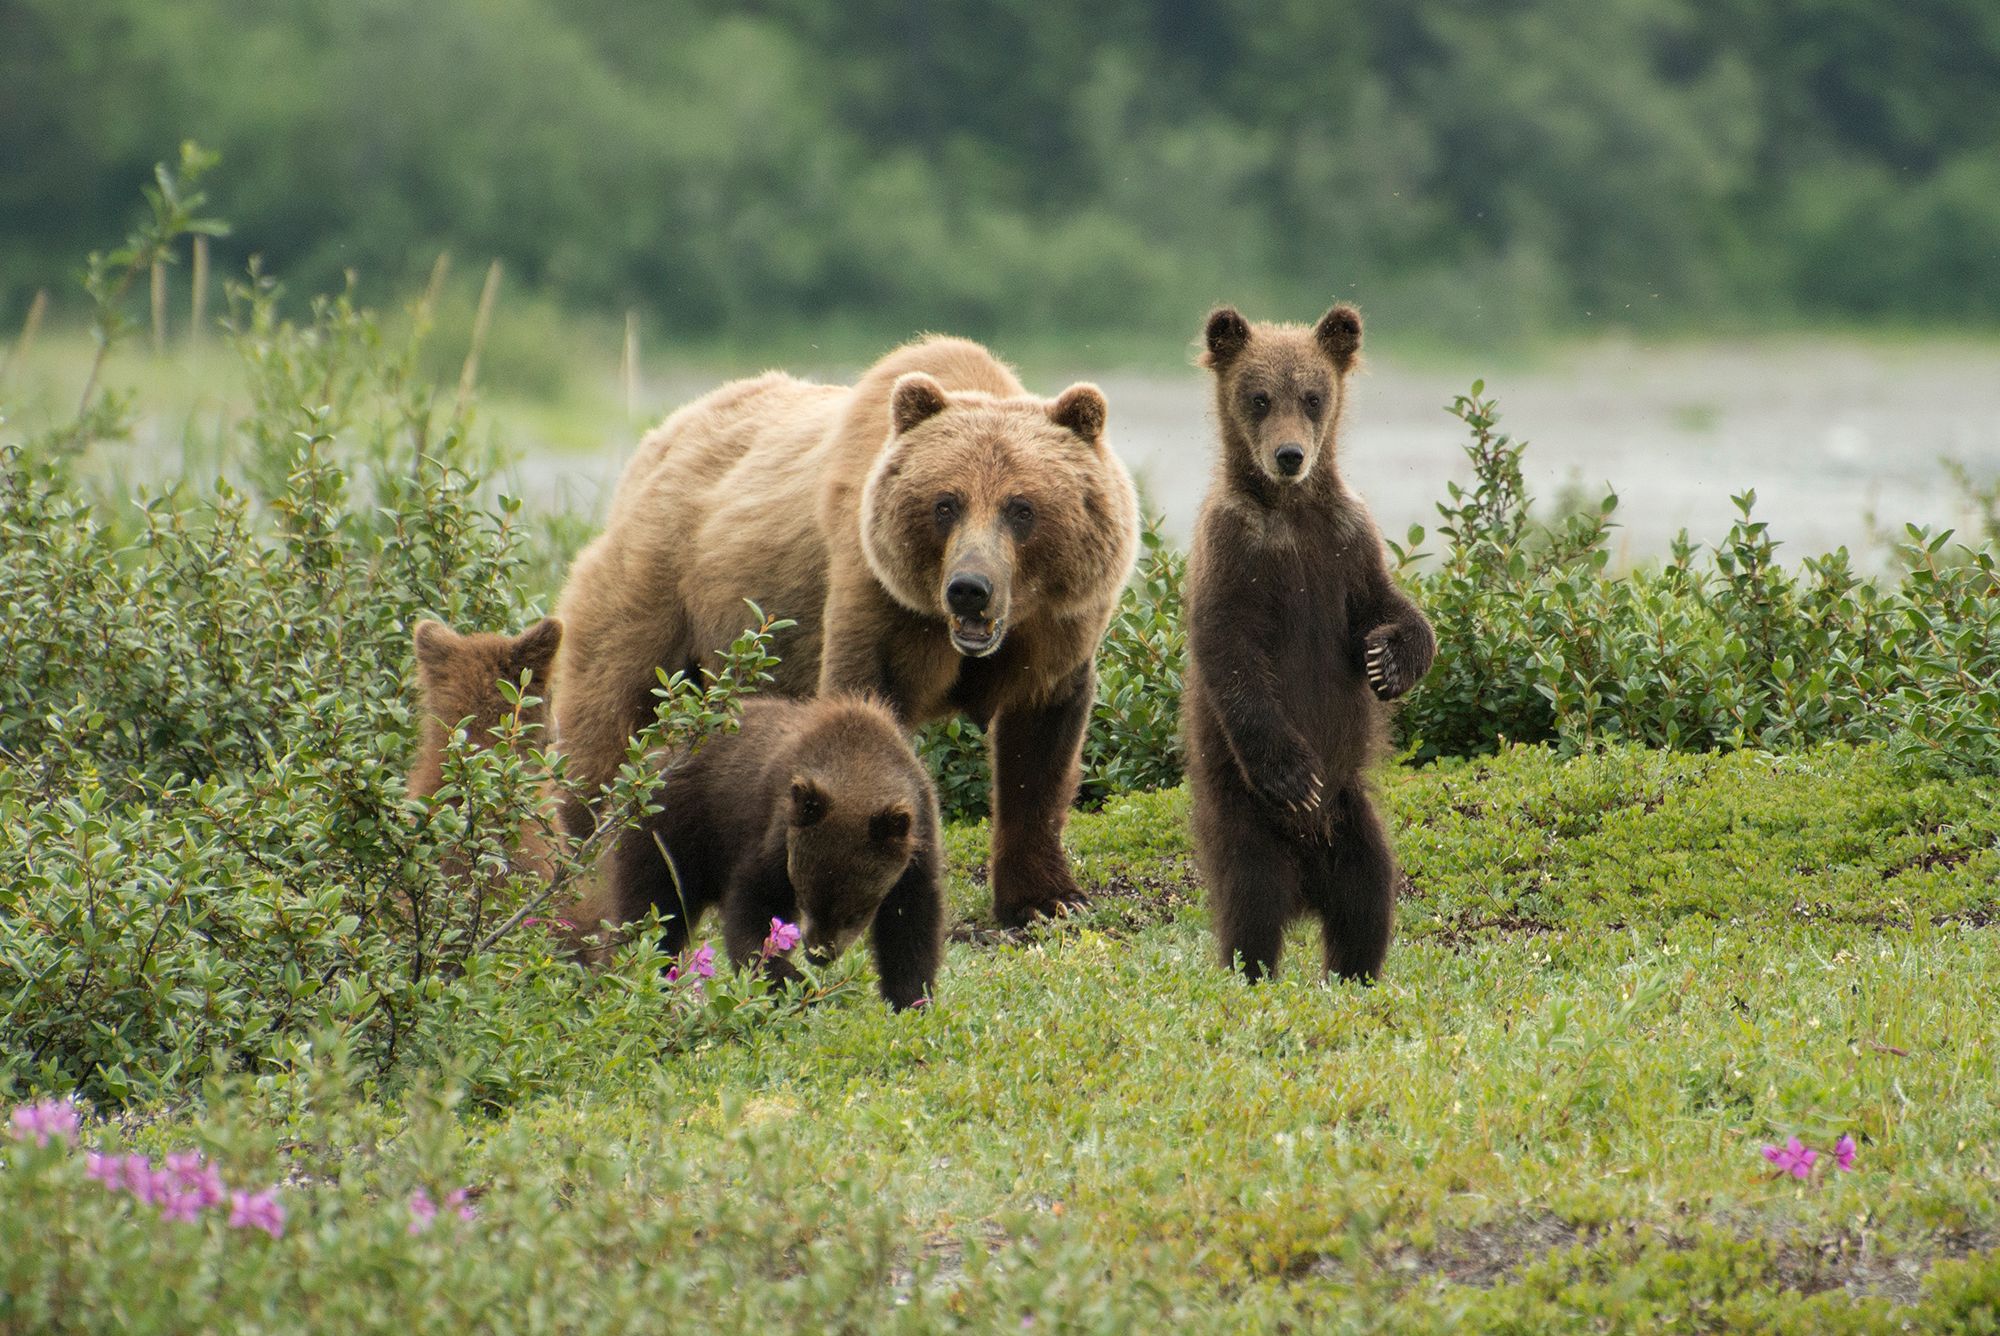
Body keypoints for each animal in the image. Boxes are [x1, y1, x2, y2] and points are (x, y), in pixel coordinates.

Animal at [552, 336, 1140, 927]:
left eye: (1022, 508)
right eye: (945, 504)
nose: (970, 588)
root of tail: (660, 438)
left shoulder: (1055, 630)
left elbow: (1040, 753)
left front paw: (1047, 898)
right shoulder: (877, 597)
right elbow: (865, 715)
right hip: (660, 595)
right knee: (608, 726)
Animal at [569, 694, 944, 1010]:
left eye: (855, 912)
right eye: (806, 898)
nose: (819, 954)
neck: (858, 759)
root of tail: (645, 762)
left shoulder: (918, 843)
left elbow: (911, 925)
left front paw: (912, 998)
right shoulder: (775, 832)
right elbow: (755, 908)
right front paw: (792, 984)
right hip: (670, 834)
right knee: (652, 911)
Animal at [1181, 304, 1437, 983]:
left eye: (1314, 396)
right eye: (1260, 396)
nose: (1291, 455)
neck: (1289, 511)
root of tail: (1307, 883)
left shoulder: (1345, 543)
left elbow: (1390, 607)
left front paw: (1388, 661)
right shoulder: (1236, 554)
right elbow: (1233, 655)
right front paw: (1296, 775)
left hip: (1353, 817)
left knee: (1369, 895)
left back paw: (1354, 973)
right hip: (1242, 815)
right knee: (1251, 900)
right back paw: (1254, 969)